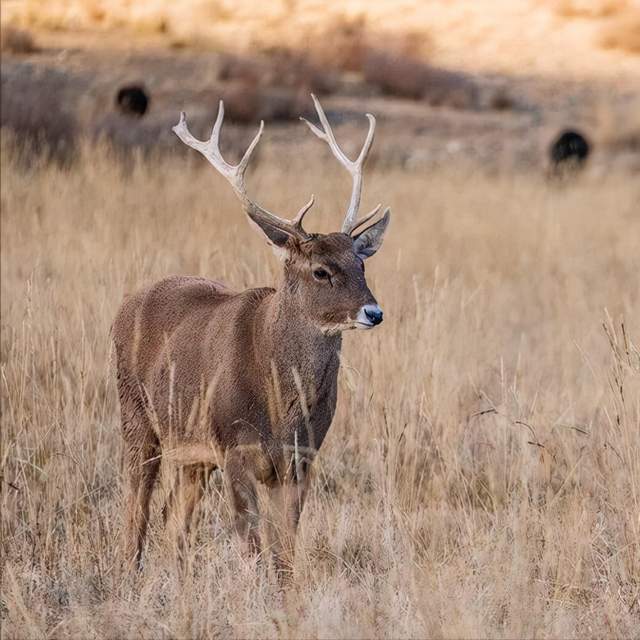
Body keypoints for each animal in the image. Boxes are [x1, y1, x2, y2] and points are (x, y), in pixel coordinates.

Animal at [112, 95, 390, 580]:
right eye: (321, 270)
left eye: (361, 264)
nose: (373, 312)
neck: (280, 402)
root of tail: (125, 306)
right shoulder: (234, 446)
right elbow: (253, 548)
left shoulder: (302, 457)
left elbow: (285, 553)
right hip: (136, 415)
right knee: (138, 511)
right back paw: (129, 575)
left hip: (193, 453)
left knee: (175, 522)